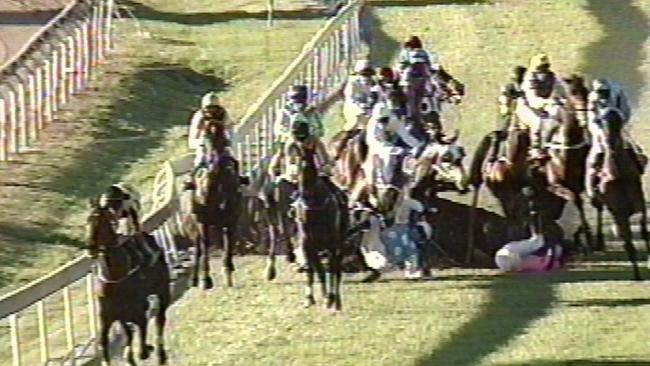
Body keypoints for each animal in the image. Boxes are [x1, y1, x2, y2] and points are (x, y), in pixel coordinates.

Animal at [86, 203, 170, 366]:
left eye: (99, 222)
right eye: (87, 221)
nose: (90, 248)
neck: (114, 278)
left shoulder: (137, 309)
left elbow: (141, 343)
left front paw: (144, 350)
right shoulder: (106, 315)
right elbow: (103, 341)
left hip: (162, 291)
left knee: (160, 319)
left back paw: (160, 354)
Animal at [186, 121, 244, 290]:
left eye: (222, 138)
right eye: (205, 139)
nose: (214, 164)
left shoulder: (231, 219)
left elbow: (229, 242)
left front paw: (228, 271)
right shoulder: (202, 221)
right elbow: (205, 245)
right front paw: (206, 280)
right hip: (194, 225)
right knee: (198, 247)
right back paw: (194, 279)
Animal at [588, 108, 644, 280]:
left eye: (617, 121)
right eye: (602, 121)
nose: (610, 143)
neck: (619, 174)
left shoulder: (638, 202)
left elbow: (643, 228)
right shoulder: (619, 210)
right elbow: (628, 241)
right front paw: (637, 274)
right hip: (600, 201)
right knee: (600, 210)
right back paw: (599, 241)